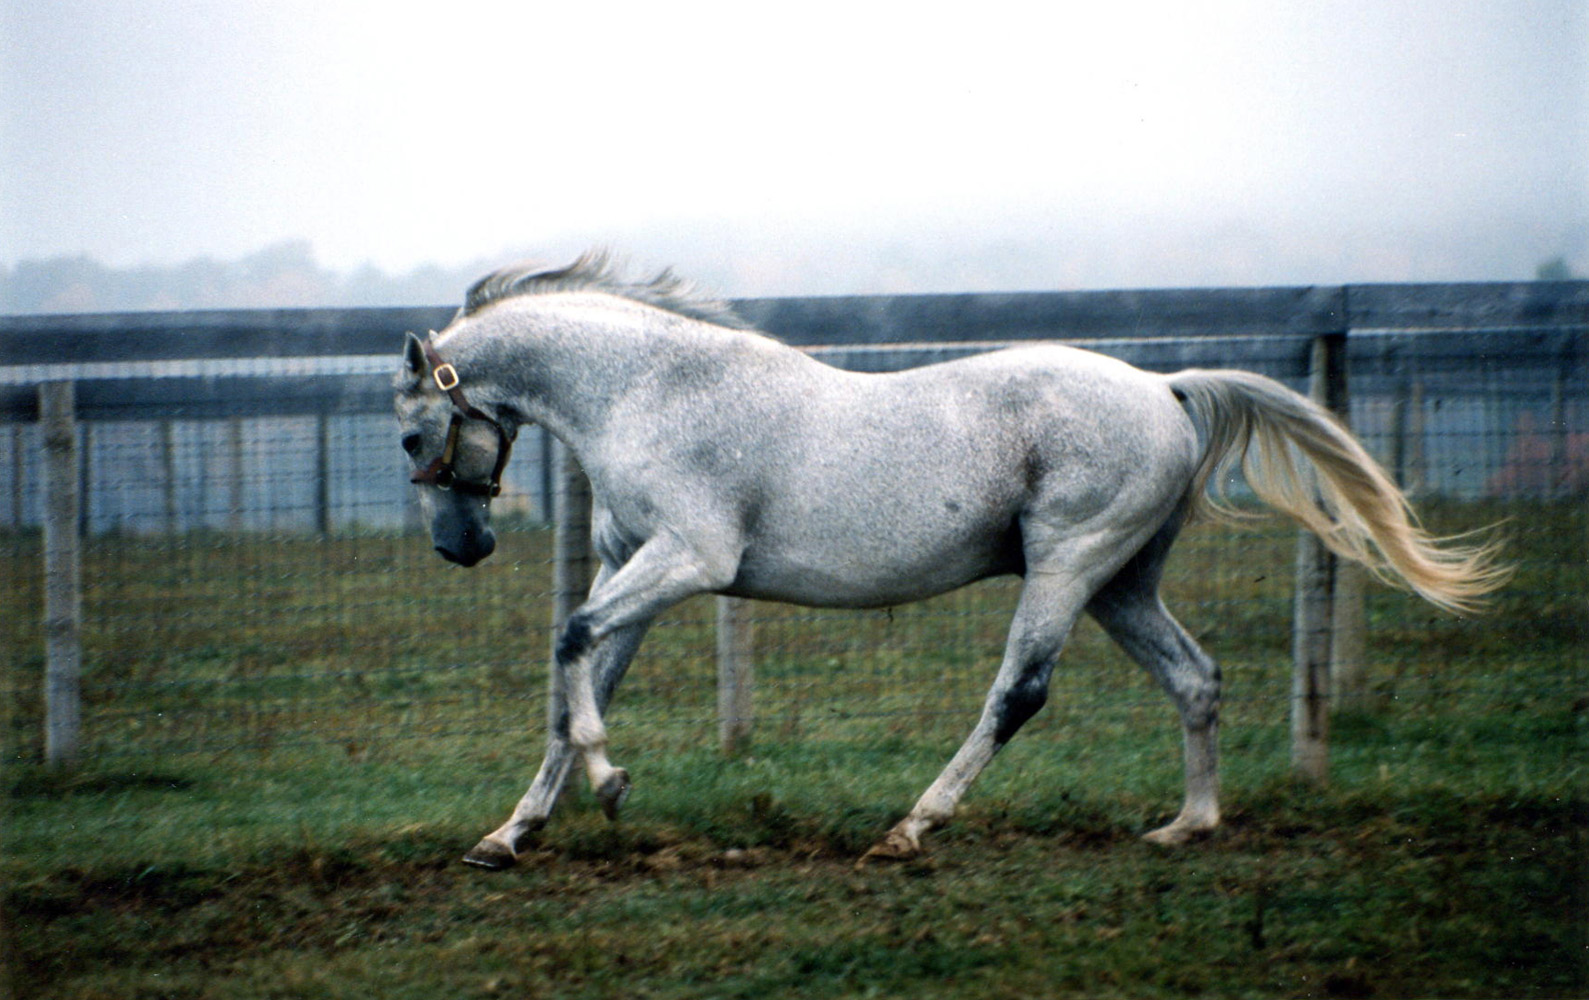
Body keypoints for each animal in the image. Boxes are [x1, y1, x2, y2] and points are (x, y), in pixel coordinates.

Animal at [390, 252, 1506, 871]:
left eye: (408, 435)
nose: (460, 549)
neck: (647, 386)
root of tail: (1164, 387)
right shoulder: (632, 563)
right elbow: (575, 672)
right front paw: (508, 836)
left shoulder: (688, 559)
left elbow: (573, 642)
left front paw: (613, 784)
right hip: (1120, 583)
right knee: (1195, 677)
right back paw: (1185, 826)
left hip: (1066, 567)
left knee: (1018, 694)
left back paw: (911, 827)